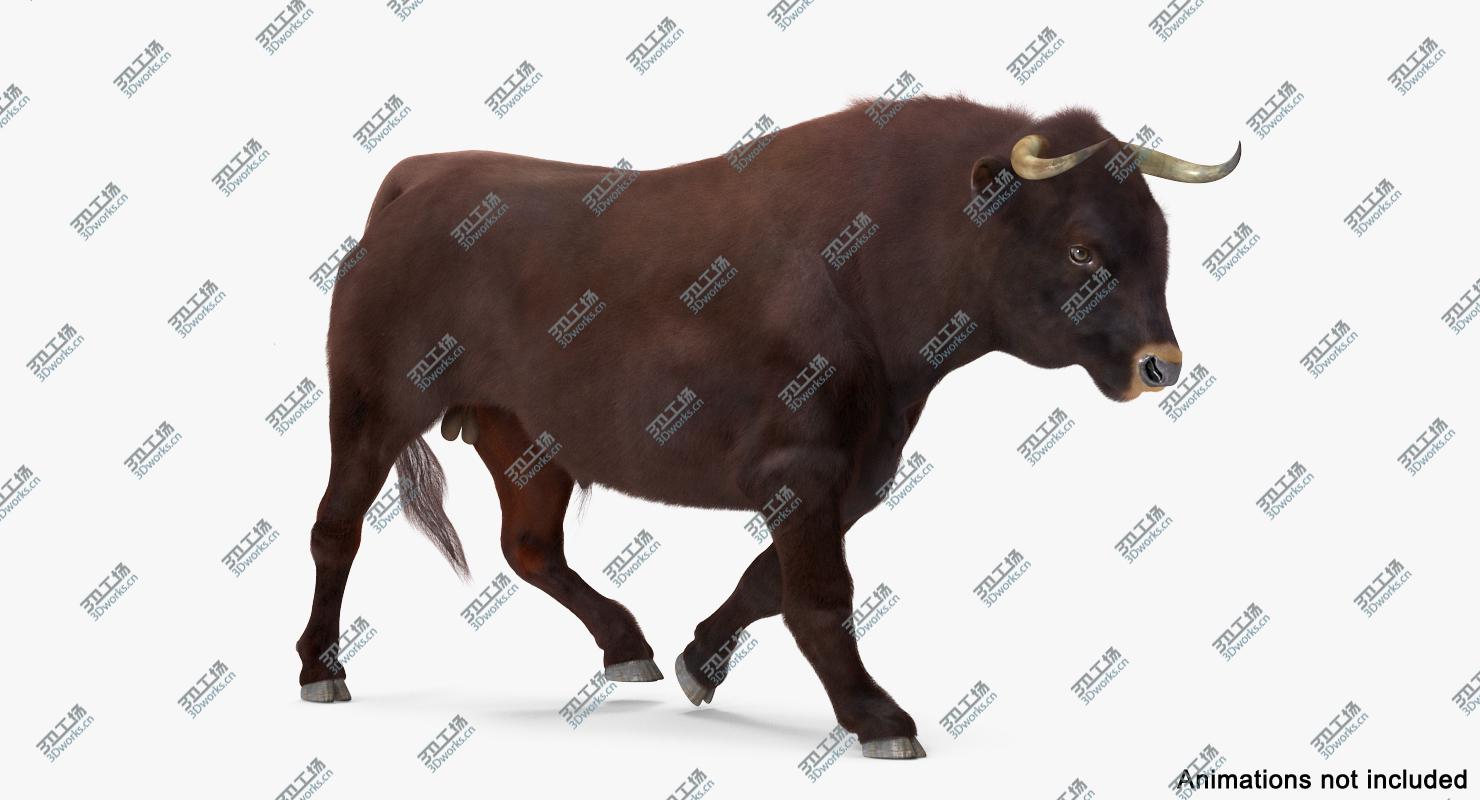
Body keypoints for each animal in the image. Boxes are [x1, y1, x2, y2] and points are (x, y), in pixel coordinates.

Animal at [294, 94, 1239, 760]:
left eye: (1159, 240)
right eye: (1082, 248)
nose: (1161, 363)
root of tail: (423, 173)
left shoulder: (854, 470)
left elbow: (766, 582)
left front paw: (700, 660)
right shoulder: (803, 465)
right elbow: (820, 597)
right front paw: (876, 716)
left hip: (524, 434)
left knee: (529, 546)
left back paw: (626, 645)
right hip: (373, 402)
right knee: (336, 527)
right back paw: (320, 668)